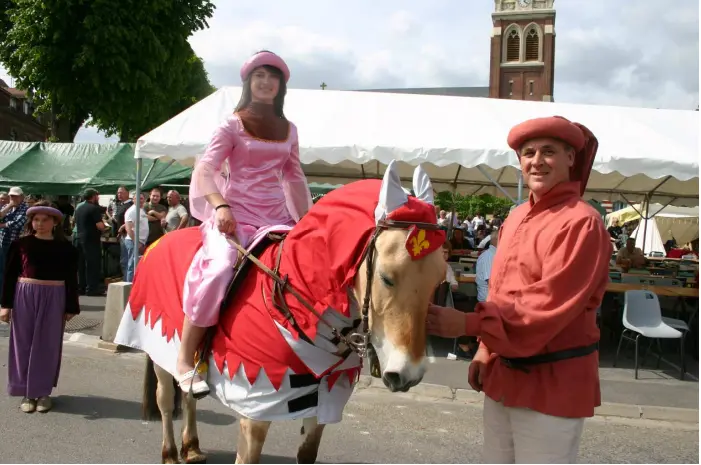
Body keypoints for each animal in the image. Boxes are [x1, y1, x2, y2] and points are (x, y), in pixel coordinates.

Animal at [112, 161, 446, 462]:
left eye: (439, 281)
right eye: (387, 278)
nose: (408, 374)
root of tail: (157, 241)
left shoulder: (323, 402)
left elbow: (307, 452)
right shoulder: (255, 411)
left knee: (190, 397)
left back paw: (191, 447)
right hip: (160, 350)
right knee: (167, 401)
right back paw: (170, 453)